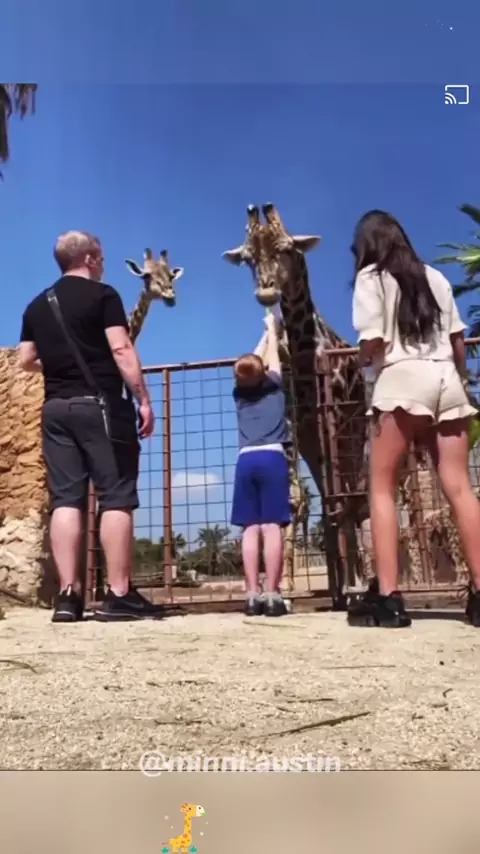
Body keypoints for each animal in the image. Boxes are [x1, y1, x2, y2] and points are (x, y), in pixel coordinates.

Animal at [223, 203, 369, 600]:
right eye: (247, 258)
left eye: (287, 248)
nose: (267, 293)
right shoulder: (294, 424)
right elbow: (294, 499)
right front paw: (287, 589)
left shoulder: (331, 418)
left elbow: (341, 496)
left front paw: (354, 586)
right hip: (314, 442)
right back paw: (340, 581)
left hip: (355, 429)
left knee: (352, 493)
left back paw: (359, 581)